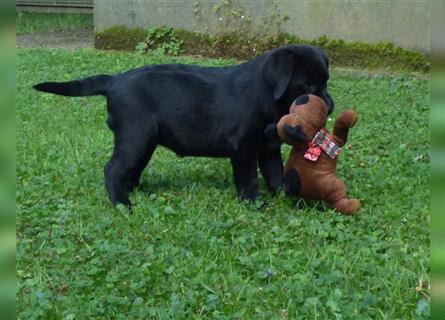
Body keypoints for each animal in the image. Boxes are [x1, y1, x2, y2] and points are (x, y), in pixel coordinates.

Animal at [33, 44, 332, 205]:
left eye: (326, 82)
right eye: (307, 86)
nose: (330, 105)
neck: (267, 94)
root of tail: (114, 81)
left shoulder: (268, 148)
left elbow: (275, 174)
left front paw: (284, 197)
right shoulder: (243, 146)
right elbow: (248, 178)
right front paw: (255, 203)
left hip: (144, 142)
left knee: (128, 170)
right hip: (136, 136)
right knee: (113, 169)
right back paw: (122, 204)